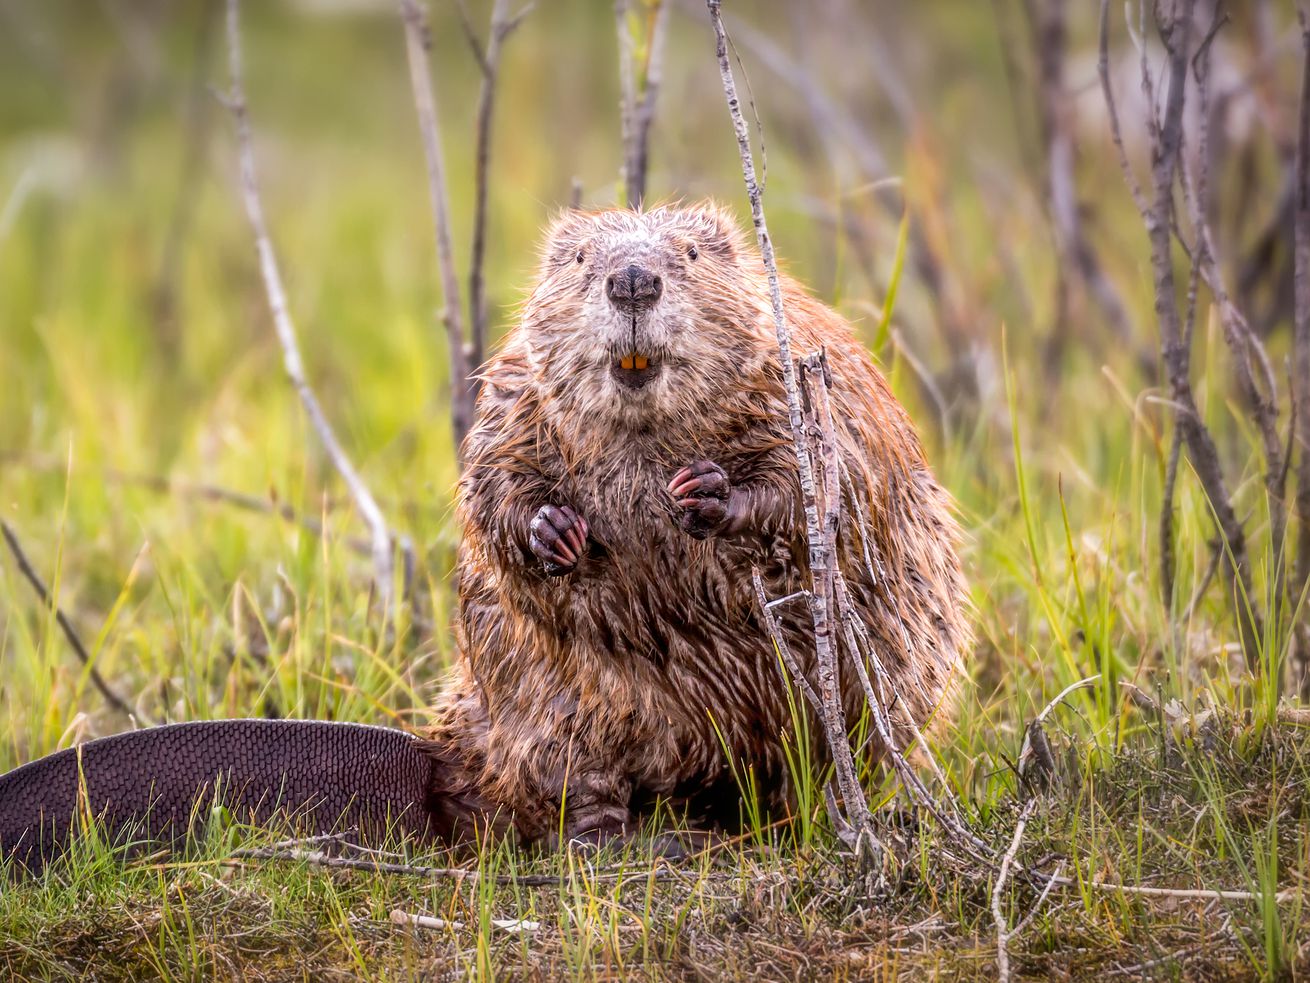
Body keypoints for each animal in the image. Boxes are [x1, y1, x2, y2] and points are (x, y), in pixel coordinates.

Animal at [0, 200, 964, 870]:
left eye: (689, 256)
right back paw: (628, 840)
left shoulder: (800, 372)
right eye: (578, 258)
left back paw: (805, 817)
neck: (644, 430)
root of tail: (439, 769)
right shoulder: (512, 387)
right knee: (576, 787)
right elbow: (494, 480)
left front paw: (707, 492)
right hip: (553, 704)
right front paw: (556, 530)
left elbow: (817, 477)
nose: (633, 281)